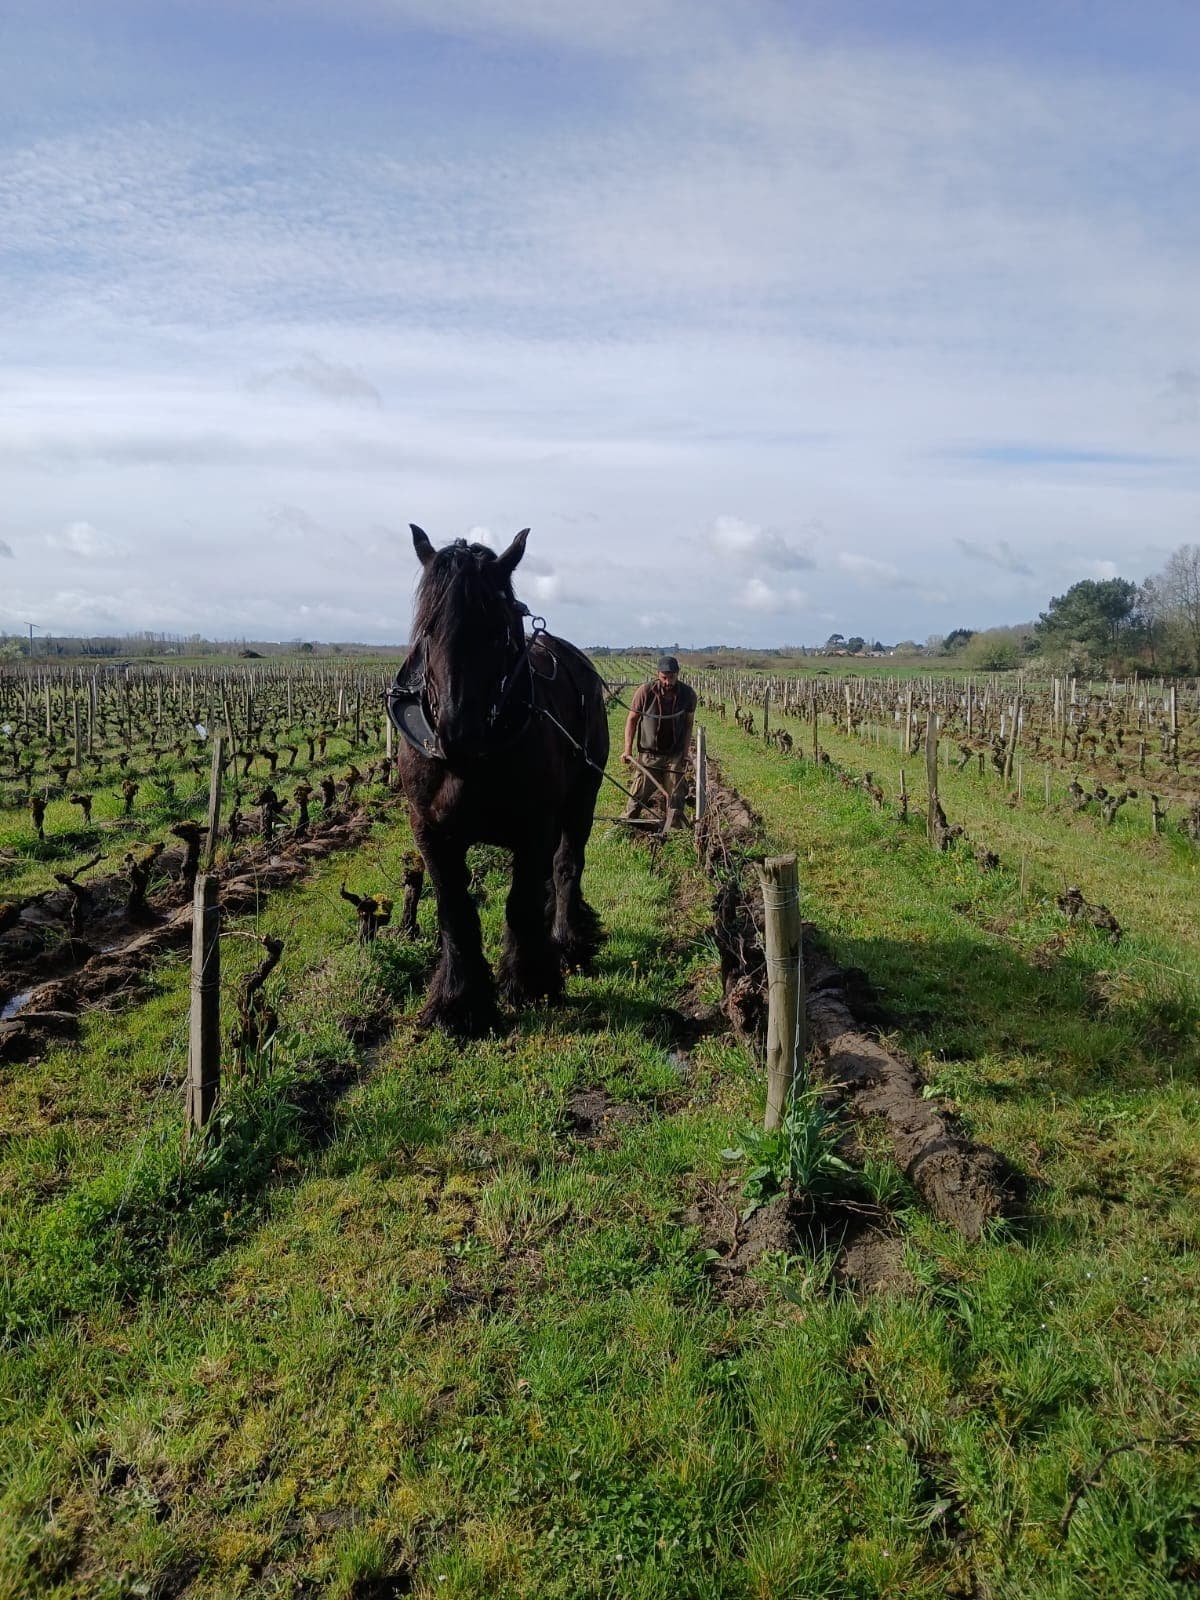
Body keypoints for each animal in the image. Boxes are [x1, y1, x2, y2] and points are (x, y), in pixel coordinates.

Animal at [388, 525, 609, 1036]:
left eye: (498, 630)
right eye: (429, 628)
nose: (459, 733)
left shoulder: (535, 826)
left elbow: (521, 900)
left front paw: (529, 981)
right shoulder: (430, 830)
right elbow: (455, 909)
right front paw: (458, 1002)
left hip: (582, 799)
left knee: (567, 865)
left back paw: (566, 938)